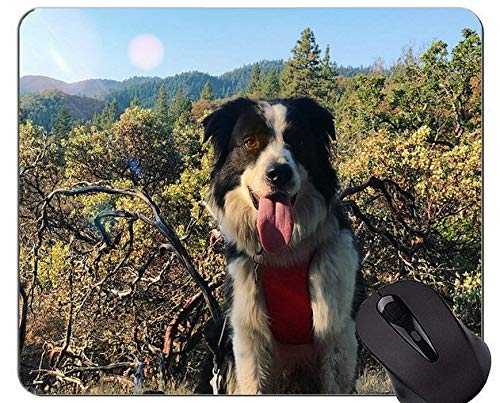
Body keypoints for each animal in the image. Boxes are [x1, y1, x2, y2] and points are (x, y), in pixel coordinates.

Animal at [201, 97, 366, 394]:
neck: (286, 254)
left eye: (297, 140)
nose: (279, 173)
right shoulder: (249, 337)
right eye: (250, 142)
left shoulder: (338, 331)